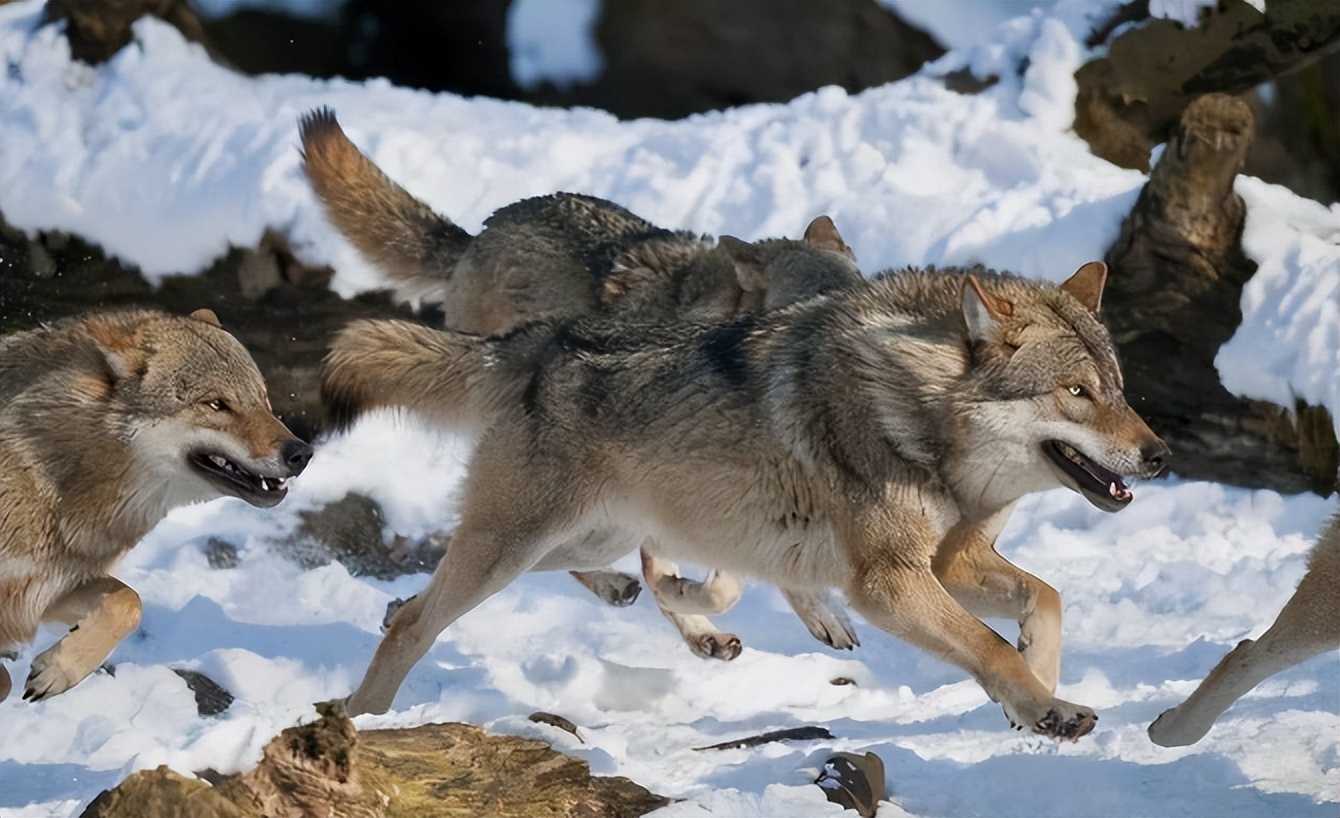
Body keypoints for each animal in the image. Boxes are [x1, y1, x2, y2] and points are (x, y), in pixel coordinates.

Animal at [1, 307, 313, 702]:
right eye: (217, 404)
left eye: (262, 400)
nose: (301, 453)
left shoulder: (48, 590)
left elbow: (130, 603)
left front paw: (58, 670)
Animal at [318, 260, 1168, 734]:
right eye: (1076, 392)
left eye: (1119, 389)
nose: (1159, 456)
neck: (918, 414)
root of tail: (541, 339)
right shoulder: (889, 582)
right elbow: (988, 644)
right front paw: (1050, 709)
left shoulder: (952, 562)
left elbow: (1046, 600)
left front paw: (1039, 696)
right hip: (514, 547)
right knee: (417, 621)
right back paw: (361, 720)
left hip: (580, 536)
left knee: (451, 596)